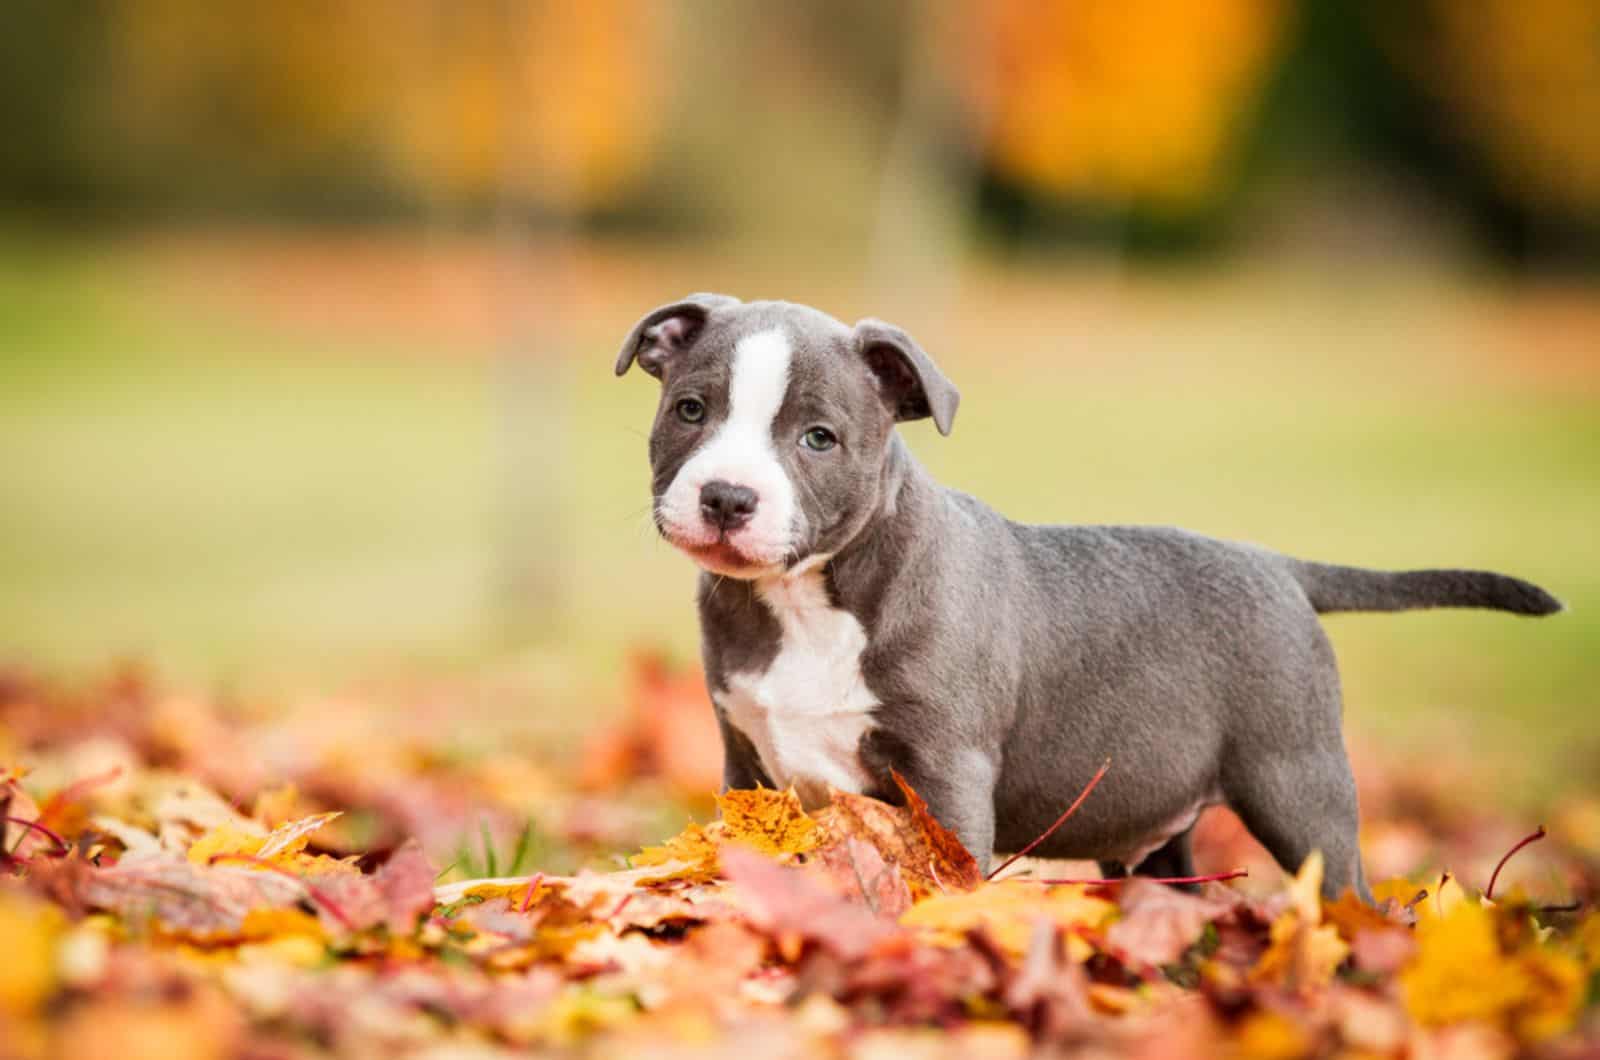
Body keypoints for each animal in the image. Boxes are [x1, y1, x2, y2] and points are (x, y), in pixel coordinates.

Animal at [614, 294, 1561, 903]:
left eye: (819, 439)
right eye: (690, 410)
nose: (727, 497)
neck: (810, 599)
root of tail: (1279, 566)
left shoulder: (948, 773)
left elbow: (942, 884)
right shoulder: (747, 765)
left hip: (1299, 781)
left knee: (1346, 887)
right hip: (1168, 826)